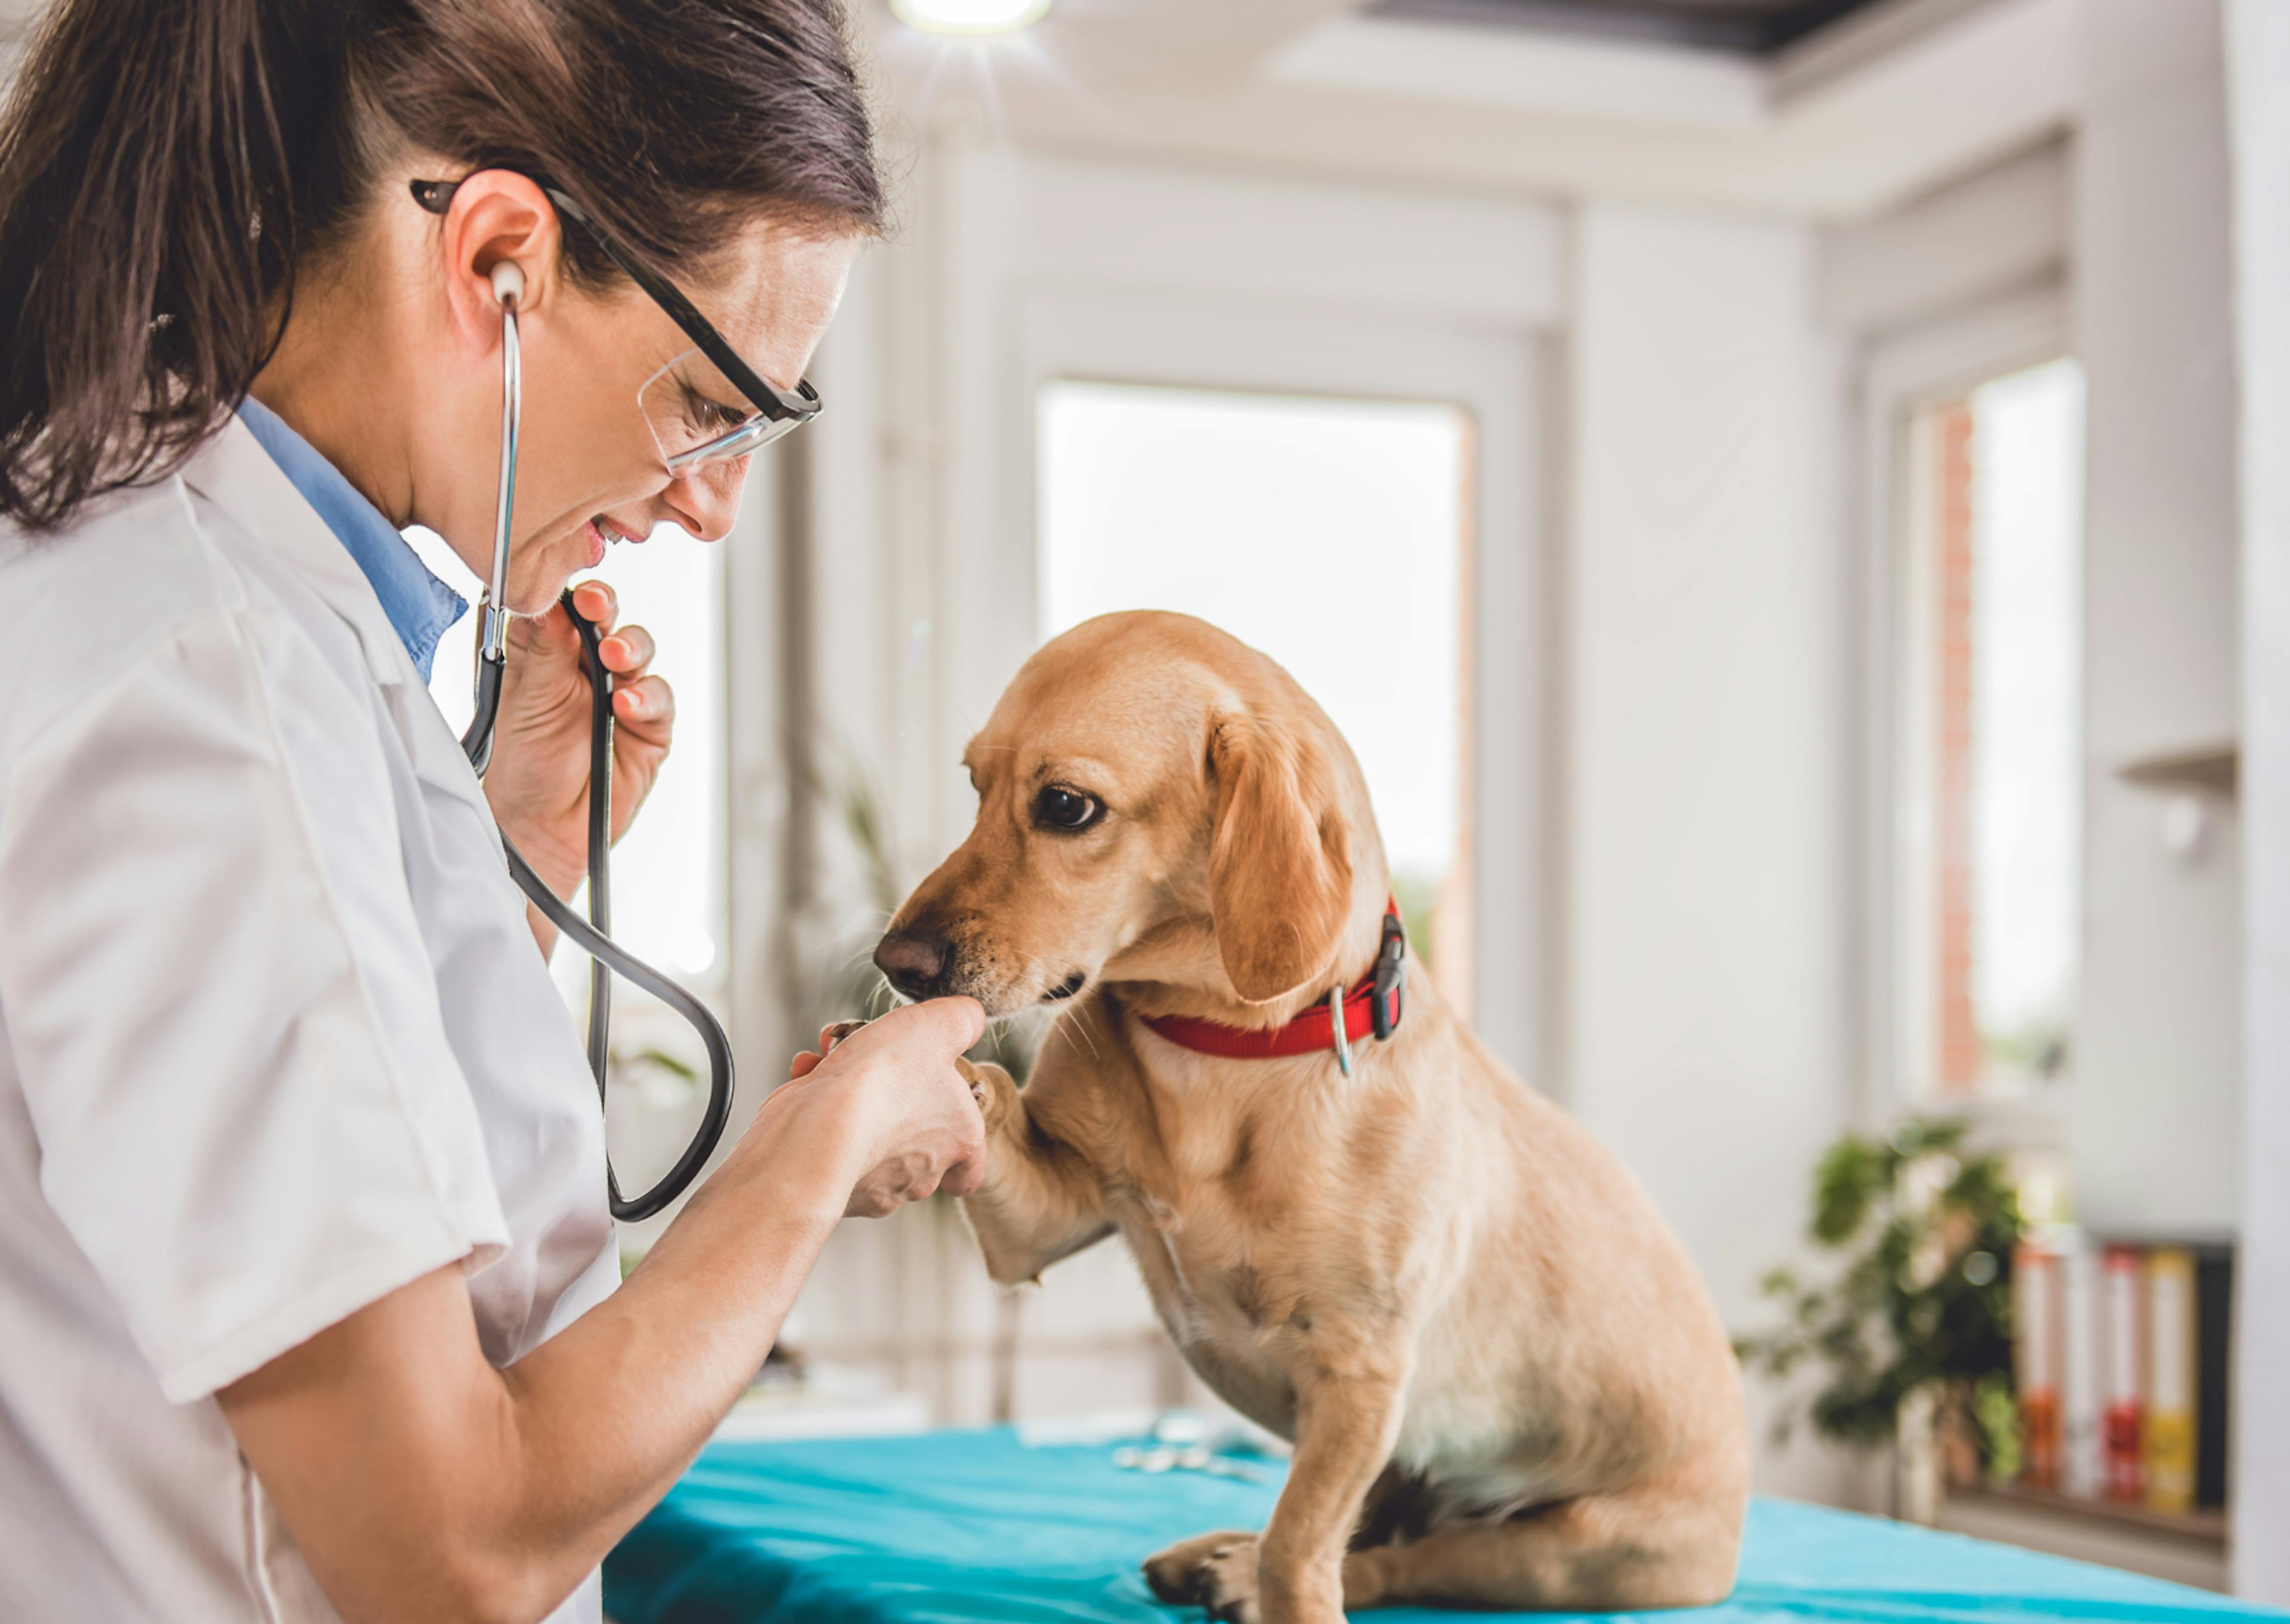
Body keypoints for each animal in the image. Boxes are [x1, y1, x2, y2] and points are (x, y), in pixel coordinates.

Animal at [865, 609, 1740, 1622]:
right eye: (976, 785)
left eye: (1067, 806)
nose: (895, 964)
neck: (1217, 1055)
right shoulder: (1038, 1228)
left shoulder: (1358, 1378)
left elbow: (1302, 1547)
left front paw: (1276, 1583)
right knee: (1373, 1536)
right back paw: (1220, 1556)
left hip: (1572, 1553)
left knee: (1398, 1559)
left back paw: (1246, 1572)